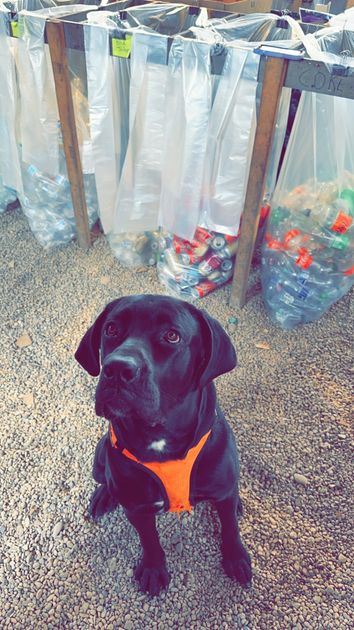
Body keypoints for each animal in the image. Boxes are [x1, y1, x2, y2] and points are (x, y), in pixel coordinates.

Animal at [74, 296, 252, 596]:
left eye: (172, 335)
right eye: (111, 329)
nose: (117, 368)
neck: (160, 437)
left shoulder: (223, 489)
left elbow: (230, 526)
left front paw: (235, 557)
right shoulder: (137, 508)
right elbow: (150, 540)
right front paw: (153, 568)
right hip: (99, 459)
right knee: (104, 477)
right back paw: (104, 495)